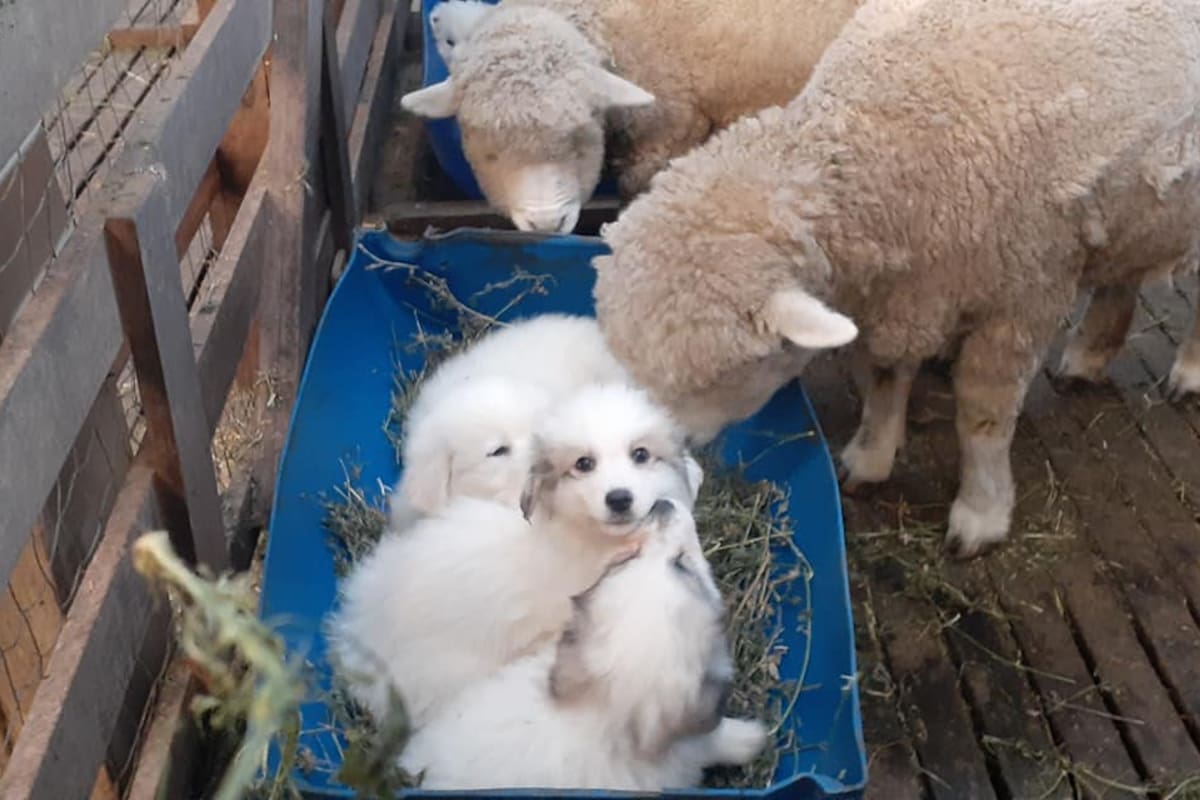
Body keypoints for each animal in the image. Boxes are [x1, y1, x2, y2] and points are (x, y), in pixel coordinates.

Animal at [398, 498, 768, 791]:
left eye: (625, 559)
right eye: (682, 563)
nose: (661, 504)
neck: (601, 713)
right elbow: (712, 740)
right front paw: (754, 738)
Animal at [590, 0, 1200, 559]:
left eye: (710, 378)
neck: (885, 137)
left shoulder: (1024, 292)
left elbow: (983, 414)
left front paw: (981, 512)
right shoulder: (902, 292)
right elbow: (885, 377)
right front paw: (871, 457)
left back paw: (1187, 372)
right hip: (1136, 209)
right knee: (1122, 273)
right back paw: (1091, 354)